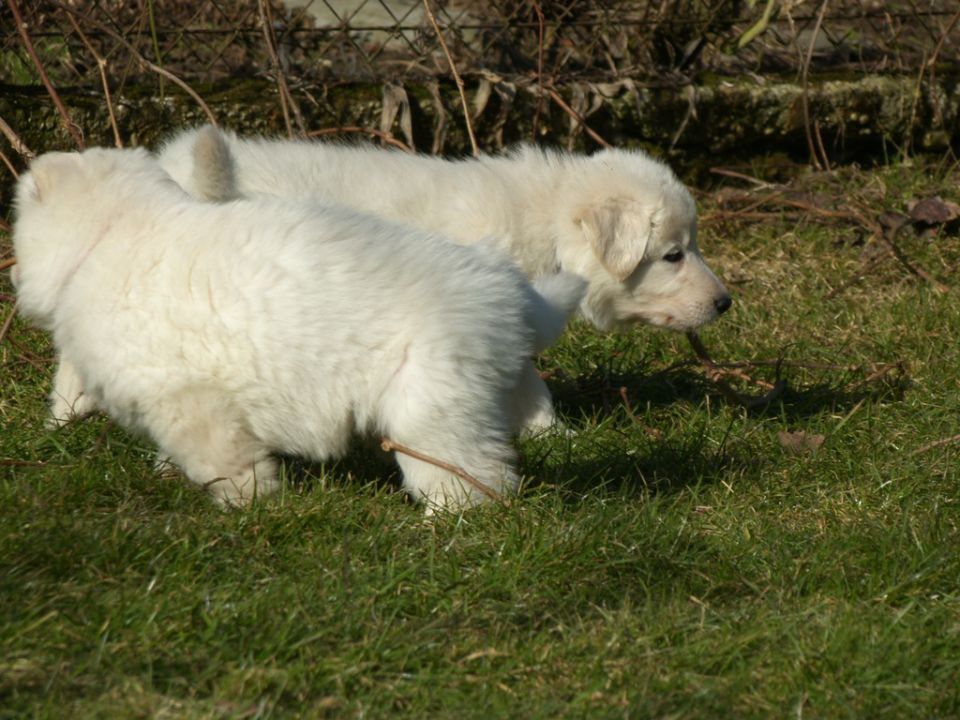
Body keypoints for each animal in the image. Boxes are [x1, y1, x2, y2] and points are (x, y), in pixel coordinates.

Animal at [15, 146, 584, 510]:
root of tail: (508, 289)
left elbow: (227, 462)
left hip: (433, 410)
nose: (14, 274)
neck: (116, 231)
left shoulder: (192, 402)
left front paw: (249, 507)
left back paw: (450, 522)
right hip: (493, 385)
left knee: (474, 474)